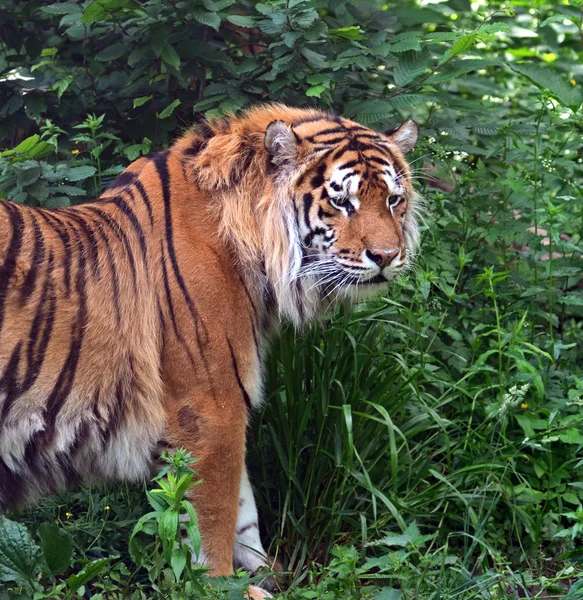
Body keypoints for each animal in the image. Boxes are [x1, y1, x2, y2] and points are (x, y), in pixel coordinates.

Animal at [0, 104, 420, 600]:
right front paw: (221, 585)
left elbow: (242, 507)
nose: (387, 256)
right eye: (342, 202)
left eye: (393, 200)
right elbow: (214, 514)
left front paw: (264, 572)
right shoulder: (211, 406)